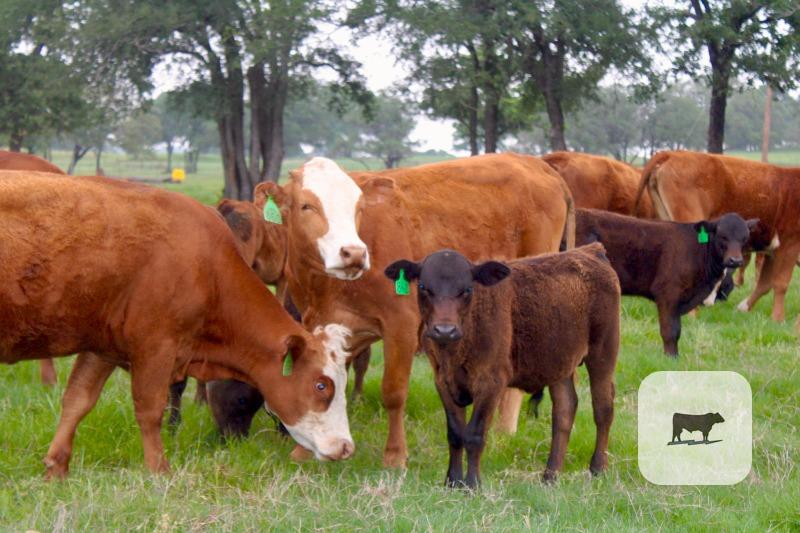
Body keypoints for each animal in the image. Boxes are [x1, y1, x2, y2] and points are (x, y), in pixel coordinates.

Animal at [257, 153, 575, 467]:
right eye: (306, 205)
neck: (328, 287)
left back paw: (503, 431)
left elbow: (394, 391)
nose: (354, 253)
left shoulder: (401, 325)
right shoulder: (322, 323)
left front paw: (395, 455)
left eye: (358, 208)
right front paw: (304, 452)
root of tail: (538, 165)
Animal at [384, 243, 620, 487]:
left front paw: (472, 485)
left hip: (603, 351)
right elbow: (455, 433)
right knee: (565, 409)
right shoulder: (442, 381)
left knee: (603, 408)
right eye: (423, 287)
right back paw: (550, 476)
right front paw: (453, 482)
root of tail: (590, 251)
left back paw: (598, 468)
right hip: (559, 363)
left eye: (467, 289)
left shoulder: (491, 381)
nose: (445, 330)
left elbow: (475, 434)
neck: (454, 353)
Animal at [574, 208, 757, 356]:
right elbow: (671, 331)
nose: (735, 260)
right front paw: (671, 359)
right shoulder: (667, 293)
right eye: (722, 236)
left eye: (744, 238)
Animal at [635, 150, 800, 322]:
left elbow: (764, 284)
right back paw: (691, 314)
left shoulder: (772, 250)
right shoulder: (790, 243)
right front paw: (778, 318)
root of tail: (673, 153)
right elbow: (781, 283)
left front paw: (744, 307)